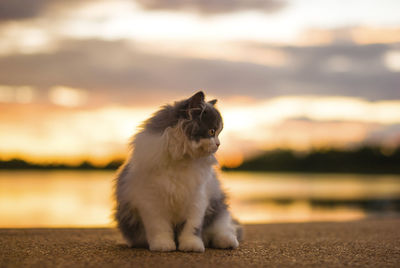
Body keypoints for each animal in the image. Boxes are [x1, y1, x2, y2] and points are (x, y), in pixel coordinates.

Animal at [114, 91, 242, 252]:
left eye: (219, 133)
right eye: (212, 131)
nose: (218, 144)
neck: (182, 158)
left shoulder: (197, 200)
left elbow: (192, 228)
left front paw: (192, 246)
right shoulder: (151, 201)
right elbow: (159, 228)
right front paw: (163, 246)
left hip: (219, 209)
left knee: (223, 229)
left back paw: (227, 242)